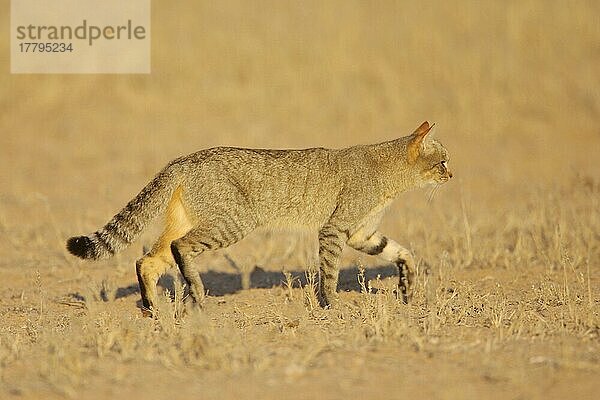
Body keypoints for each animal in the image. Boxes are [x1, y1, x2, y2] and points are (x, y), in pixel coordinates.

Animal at [67, 120, 450, 314]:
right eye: (443, 161)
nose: (452, 174)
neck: (390, 178)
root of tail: (181, 160)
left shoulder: (362, 234)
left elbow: (403, 252)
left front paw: (407, 287)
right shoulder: (334, 229)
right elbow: (329, 273)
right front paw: (332, 304)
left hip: (194, 221)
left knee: (147, 259)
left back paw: (152, 306)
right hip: (234, 223)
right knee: (178, 247)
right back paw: (196, 293)